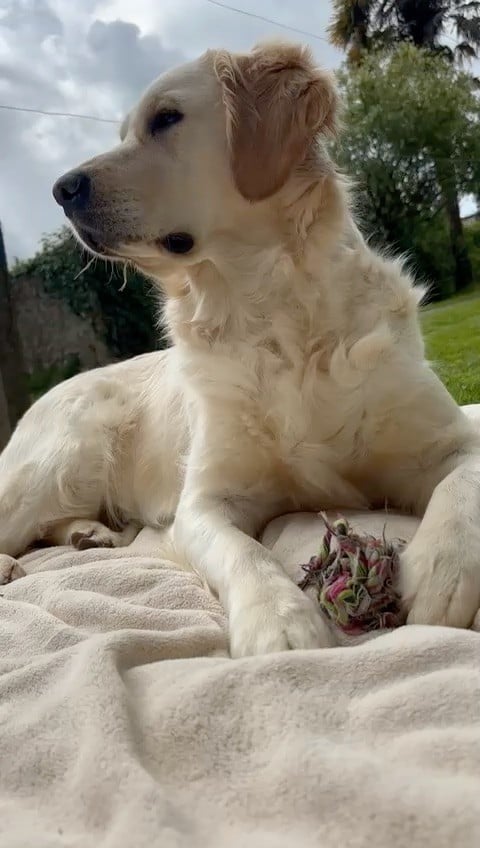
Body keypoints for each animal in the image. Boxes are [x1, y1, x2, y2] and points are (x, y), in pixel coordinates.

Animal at [1, 41, 480, 657]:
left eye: (166, 119)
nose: (61, 189)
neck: (267, 308)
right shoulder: (203, 502)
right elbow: (245, 553)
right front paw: (281, 622)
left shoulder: (448, 440)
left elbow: (462, 486)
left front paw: (443, 571)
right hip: (64, 456)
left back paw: (88, 533)